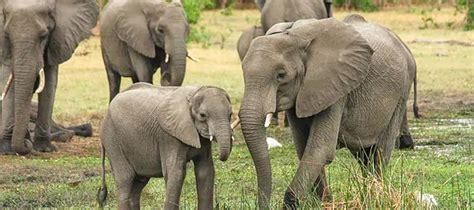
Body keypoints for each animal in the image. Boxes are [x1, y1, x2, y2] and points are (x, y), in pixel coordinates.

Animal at [0, 0, 98, 154]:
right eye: (7, 36)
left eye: (43, 36)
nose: (26, 144)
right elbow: (7, 81)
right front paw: (6, 150)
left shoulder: (56, 41)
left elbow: (50, 83)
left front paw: (44, 149)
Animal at [98, 83, 235, 209]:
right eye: (202, 115)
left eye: (230, 114)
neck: (194, 93)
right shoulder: (169, 137)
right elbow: (176, 173)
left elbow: (205, 171)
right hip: (112, 140)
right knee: (125, 180)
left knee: (138, 184)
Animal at [237, 15, 414, 208]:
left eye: (281, 75)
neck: (294, 36)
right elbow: (304, 147)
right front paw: (324, 203)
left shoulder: (336, 86)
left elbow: (320, 148)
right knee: (363, 154)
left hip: (401, 92)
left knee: (380, 152)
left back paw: (376, 197)